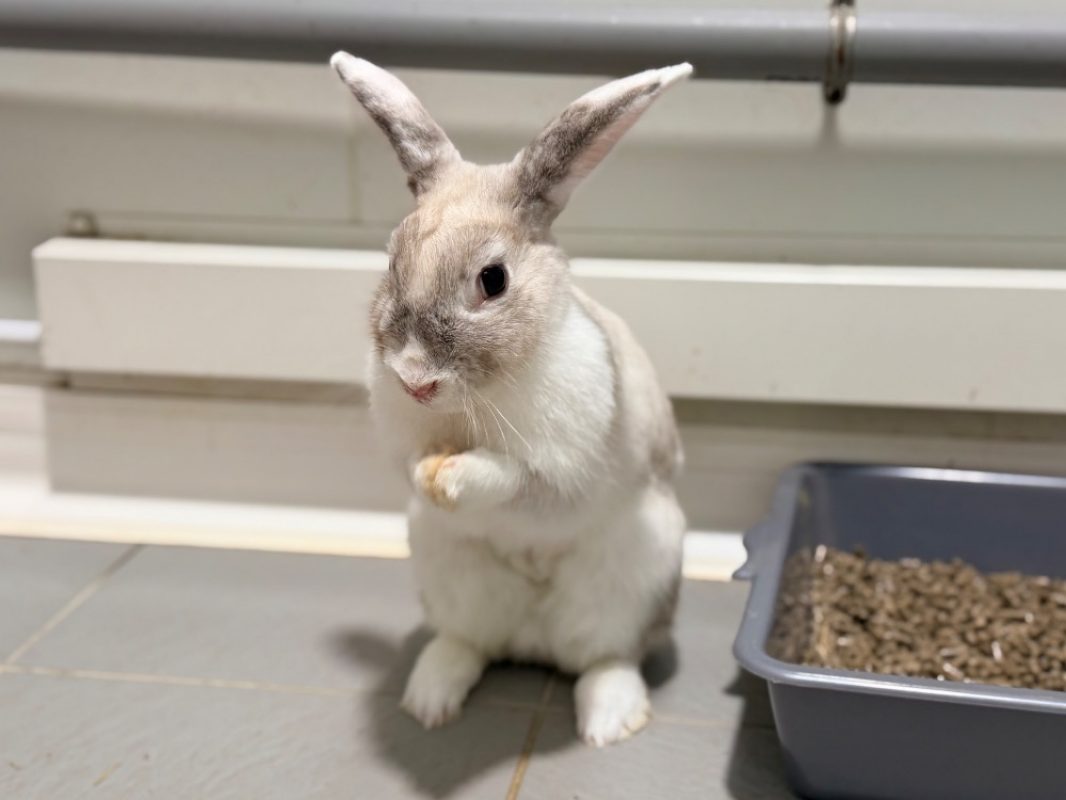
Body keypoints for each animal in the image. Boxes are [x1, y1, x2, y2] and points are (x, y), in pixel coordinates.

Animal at [331, 52, 690, 746]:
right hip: (449, 573)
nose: (414, 377)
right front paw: (428, 476)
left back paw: (609, 721)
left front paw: (454, 479)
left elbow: (519, 480)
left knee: (605, 658)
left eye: (493, 280)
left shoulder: (561, 472)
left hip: (636, 582)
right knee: (469, 643)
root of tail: (535, 644)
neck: (474, 402)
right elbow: (412, 469)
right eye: (391, 262)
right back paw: (429, 700)